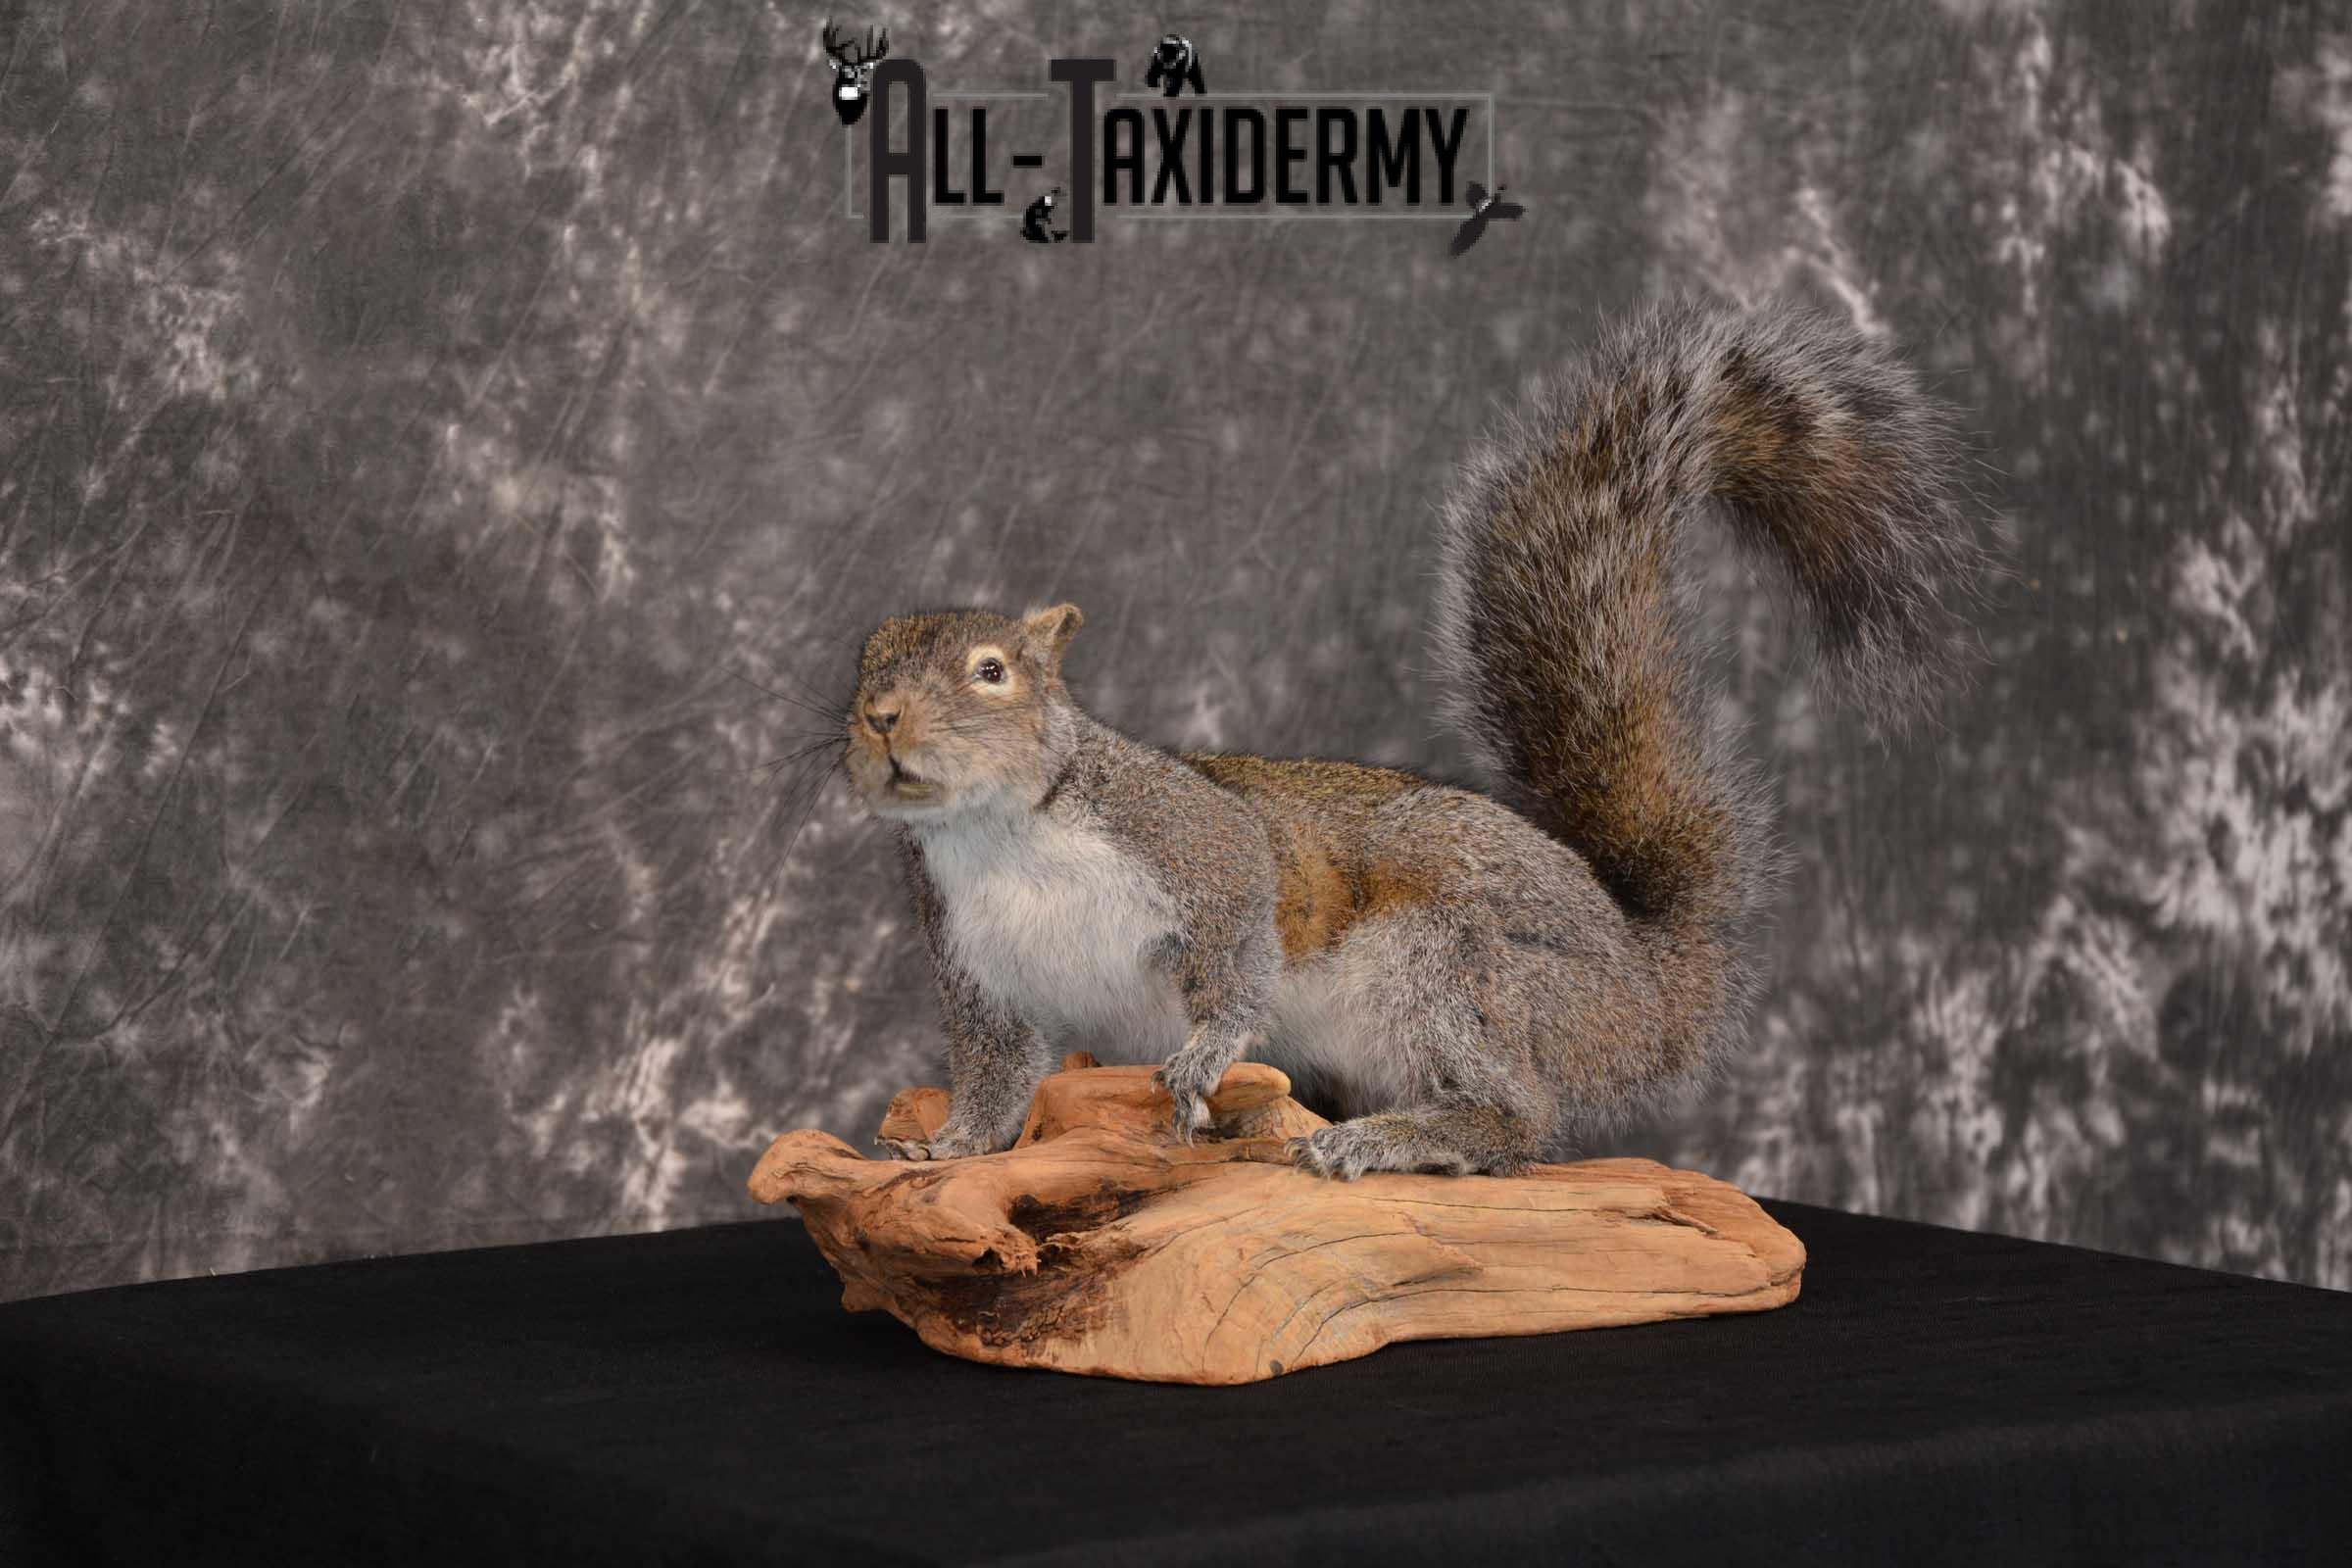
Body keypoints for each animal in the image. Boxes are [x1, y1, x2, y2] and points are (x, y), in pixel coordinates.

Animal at [840, 300, 1986, 1179]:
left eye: (994, 671)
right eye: (861, 665)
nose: (882, 720)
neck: (1001, 832)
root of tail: (1649, 988)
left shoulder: (1188, 838)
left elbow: (1244, 927)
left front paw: (1203, 1055)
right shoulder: (974, 964)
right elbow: (996, 1076)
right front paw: (947, 1149)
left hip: (1462, 969)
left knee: (1518, 1119)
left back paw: (1393, 1140)